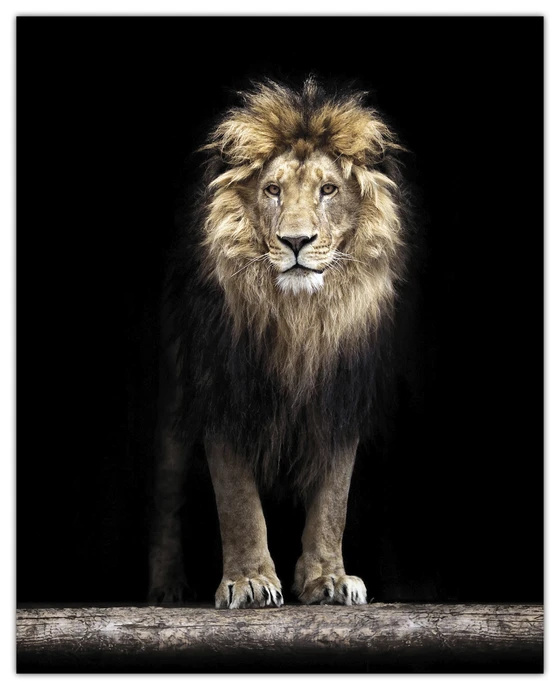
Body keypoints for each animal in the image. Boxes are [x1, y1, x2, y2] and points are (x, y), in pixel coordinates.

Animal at [148, 77, 411, 608]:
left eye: (328, 190)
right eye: (272, 190)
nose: (295, 241)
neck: (299, 320)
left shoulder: (339, 397)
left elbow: (334, 500)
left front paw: (328, 579)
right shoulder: (223, 390)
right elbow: (238, 501)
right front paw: (249, 581)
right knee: (167, 492)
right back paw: (165, 589)